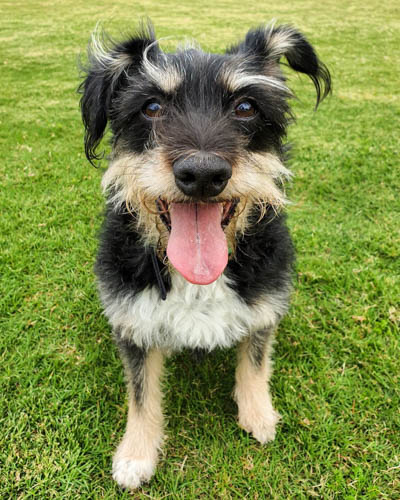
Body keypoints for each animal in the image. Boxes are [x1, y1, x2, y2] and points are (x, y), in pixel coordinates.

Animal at [79, 21, 332, 490]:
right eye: (152, 106)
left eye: (246, 106)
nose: (202, 174)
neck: (198, 282)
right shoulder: (133, 322)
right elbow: (140, 393)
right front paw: (136, 454)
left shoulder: (264, 306)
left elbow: (255, 362)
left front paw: (258, 414)